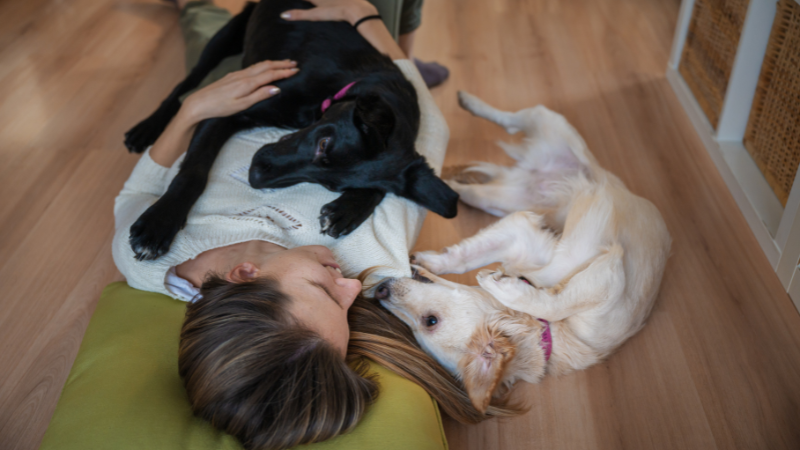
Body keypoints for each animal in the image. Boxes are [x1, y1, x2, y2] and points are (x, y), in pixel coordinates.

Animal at [123, 0, 456, 260]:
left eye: (332, 186)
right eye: (323, 143)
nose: (255, 177)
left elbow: (378, 189)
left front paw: (347, 210)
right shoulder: (226, 108)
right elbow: (193, 171)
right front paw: (159, 223)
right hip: (225, 39)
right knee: (188, 85)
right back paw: (147, 127)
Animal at [374, 92, 668, 414]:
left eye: (429, 322)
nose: (378, 290)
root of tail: (530, 172)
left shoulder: (608, 274)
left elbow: (551, 299)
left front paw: (501, 284)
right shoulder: (521, 232)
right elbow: (469, 257)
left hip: (539, 148)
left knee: (496, 141)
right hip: (513, 180)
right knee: (478, 162)